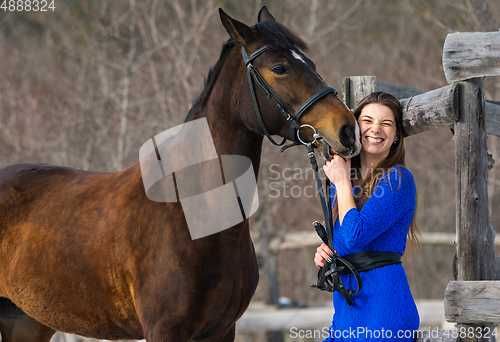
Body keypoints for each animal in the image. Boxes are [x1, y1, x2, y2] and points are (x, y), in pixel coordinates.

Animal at [0, 6, 360, 342]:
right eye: (280, 68)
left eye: (311, 64)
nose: (347, 129)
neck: (195, 213)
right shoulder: (165, 330)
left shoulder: (222, 330)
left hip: (26, 321)